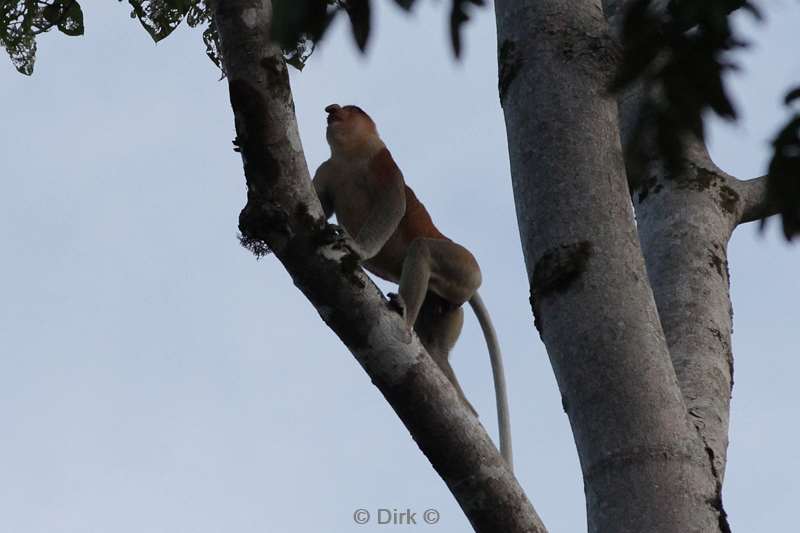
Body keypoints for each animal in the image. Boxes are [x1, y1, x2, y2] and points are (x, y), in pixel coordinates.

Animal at [312, 103, 512, 466]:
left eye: (352, 110)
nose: (331, 109)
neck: (350, 157)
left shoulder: (385, 166)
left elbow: (393, 208)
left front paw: (357, 249)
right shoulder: (328, 169)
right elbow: (318, 200)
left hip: (464, 266)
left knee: (422, 248)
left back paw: (402, 310)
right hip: (445, 306)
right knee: (435, 349)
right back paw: (466, 408)